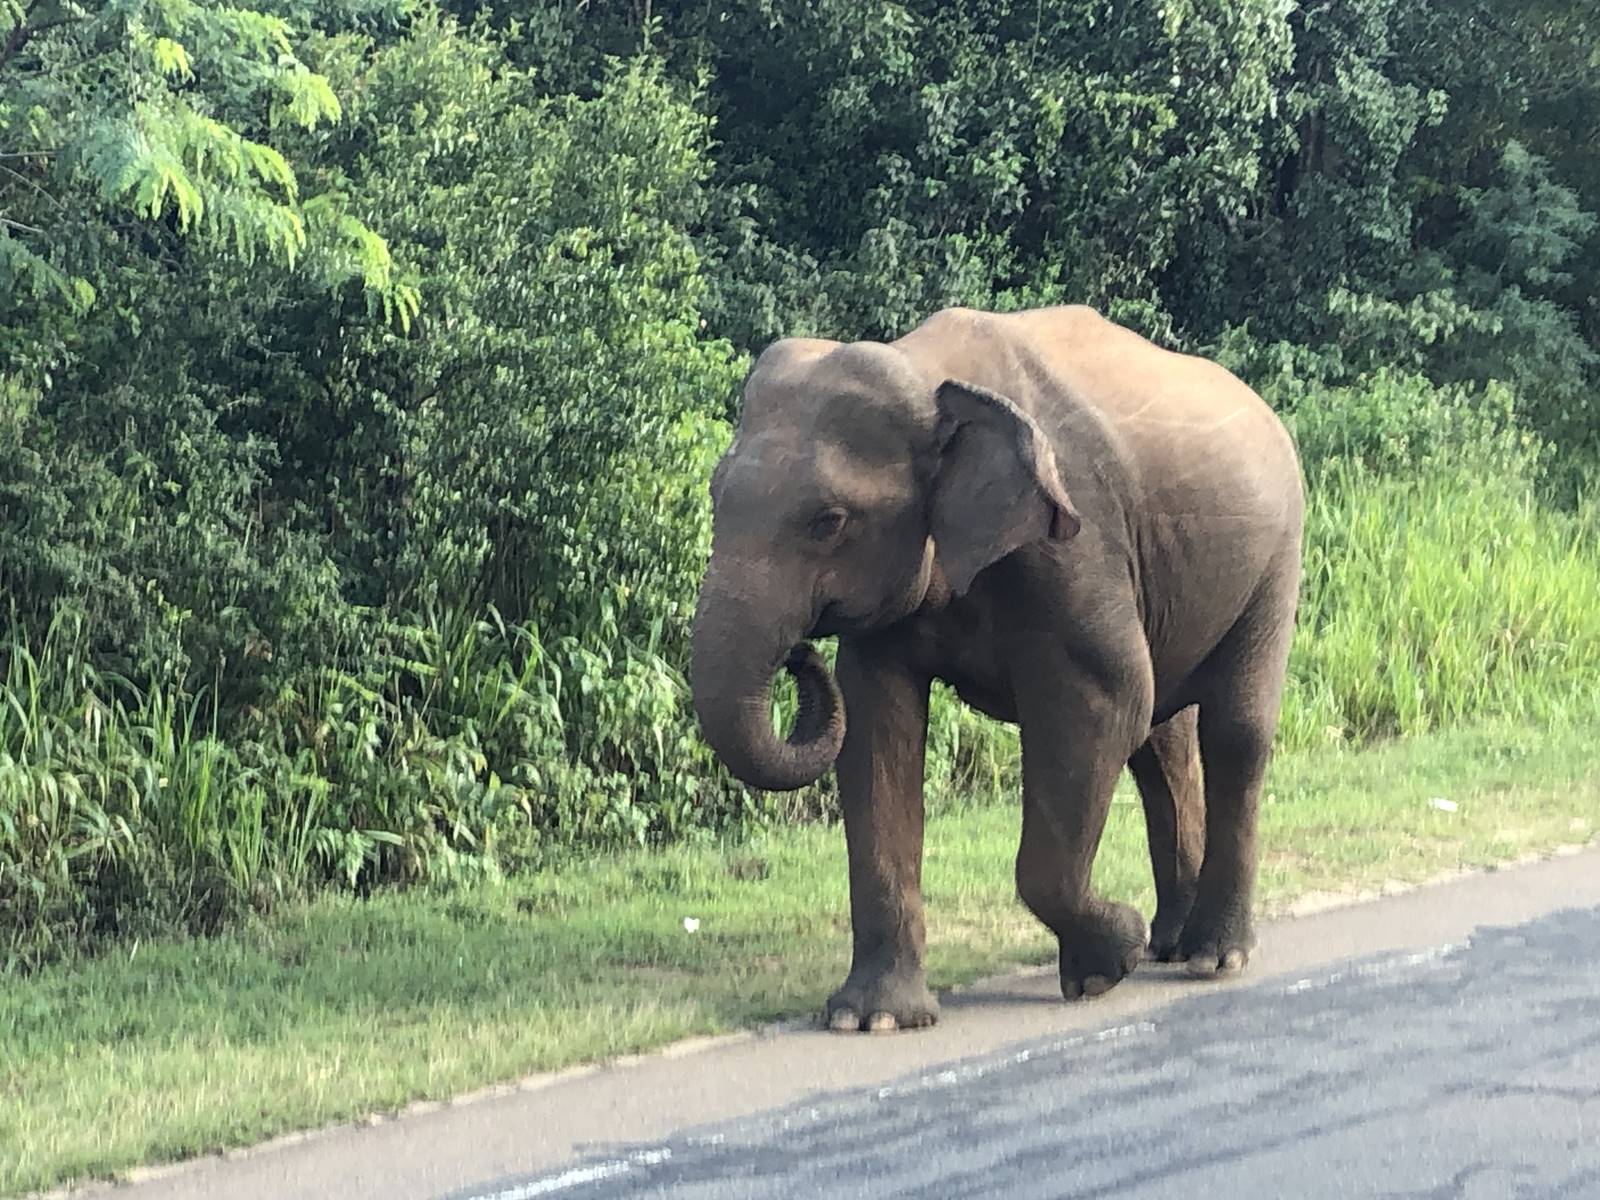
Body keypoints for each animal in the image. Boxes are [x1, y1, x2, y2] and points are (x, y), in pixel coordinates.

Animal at [691, 305, 1303, 1033]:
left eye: (828, 522)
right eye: (715, 496)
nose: (799, 653)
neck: (928, 375)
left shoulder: (1075, 545)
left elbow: (1105, 703)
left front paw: (1105, 963)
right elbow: (876, 735)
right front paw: (870, 1020)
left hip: (1276, 557)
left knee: (1232, 731)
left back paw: (1212, 957)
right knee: (1164, 744)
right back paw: (1170, 944)